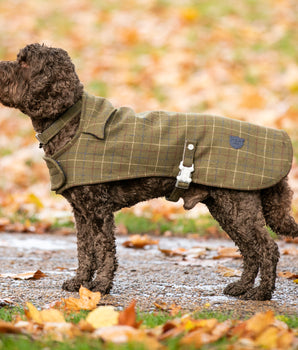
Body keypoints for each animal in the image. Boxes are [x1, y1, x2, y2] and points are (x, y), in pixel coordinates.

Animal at [0, 43, 296, 300]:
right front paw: (80, 282)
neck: (69, 121)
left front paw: (100, 287)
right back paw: (242, 287)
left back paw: (261, 293)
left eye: (24, 63)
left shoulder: (98, 210)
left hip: (239, 206)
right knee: (250, 251)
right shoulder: (81, 212)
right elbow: (85, 250)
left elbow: (103, 249)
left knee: (267, 249)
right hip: (226, 208)